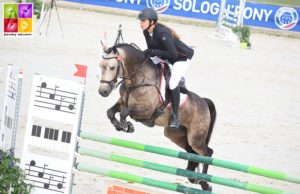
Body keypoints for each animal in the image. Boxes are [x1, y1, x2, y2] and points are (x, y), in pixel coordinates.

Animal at [99, 42, 218, 191]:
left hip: (195, 137)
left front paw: (127, 126)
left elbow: (124, 113)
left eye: (112, 67)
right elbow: (111, 112)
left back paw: (204, 183)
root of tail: (204, 102)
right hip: (176, 135)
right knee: (192, 152)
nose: (102, 92)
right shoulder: (122, 102)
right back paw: (192, 177)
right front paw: (121, 126)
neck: (138, 78)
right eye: (100, 66)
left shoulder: (146, 110)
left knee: (207, 153)